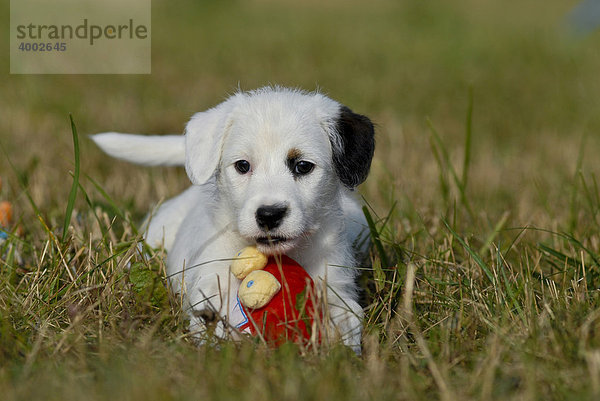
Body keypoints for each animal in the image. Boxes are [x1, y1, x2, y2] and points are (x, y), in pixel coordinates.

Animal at [92, 86, 376, 350]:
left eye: (303, 166)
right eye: (242, 165)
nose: (269, 214)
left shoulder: (335, 281)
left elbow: (348, 315)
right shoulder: (211, 278)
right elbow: (213, 314)